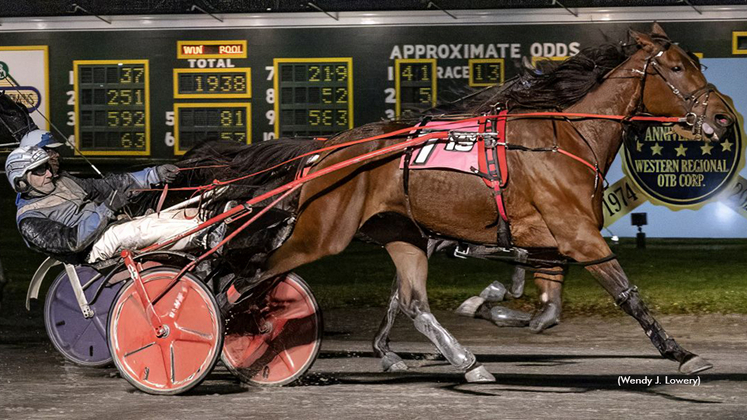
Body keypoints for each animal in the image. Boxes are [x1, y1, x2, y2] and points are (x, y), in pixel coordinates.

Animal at [180, 24, 736, 382]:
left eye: (698, 63)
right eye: (676, 67)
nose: (724, 118)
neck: (566, 140)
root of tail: (332, 149)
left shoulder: (549, 240)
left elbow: (540, 296)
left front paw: (497, 311)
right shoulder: (578, 235)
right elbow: (627, 294)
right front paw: (682, 354)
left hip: (401, 234)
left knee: (411, 301)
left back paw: (468, 362)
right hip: (321, 233)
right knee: (247, 277)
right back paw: (227, 337)